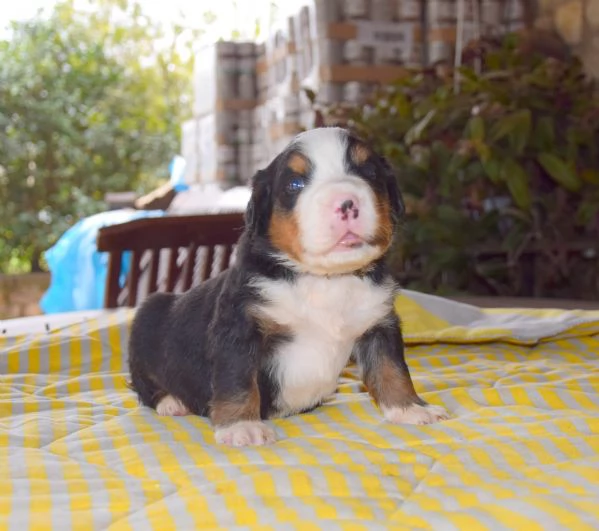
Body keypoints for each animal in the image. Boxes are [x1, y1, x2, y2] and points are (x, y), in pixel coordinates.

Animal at [130, 127, 450, 446]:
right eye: (295, 183)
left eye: (369, 172)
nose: (346, 202)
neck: (326, 279)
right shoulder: (239, 326)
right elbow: (238, 379)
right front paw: (241, 426)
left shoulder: (378, 322)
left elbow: (391, 368)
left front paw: (410, 408)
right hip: (147, 322)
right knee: (144, 386)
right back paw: (172, 402)